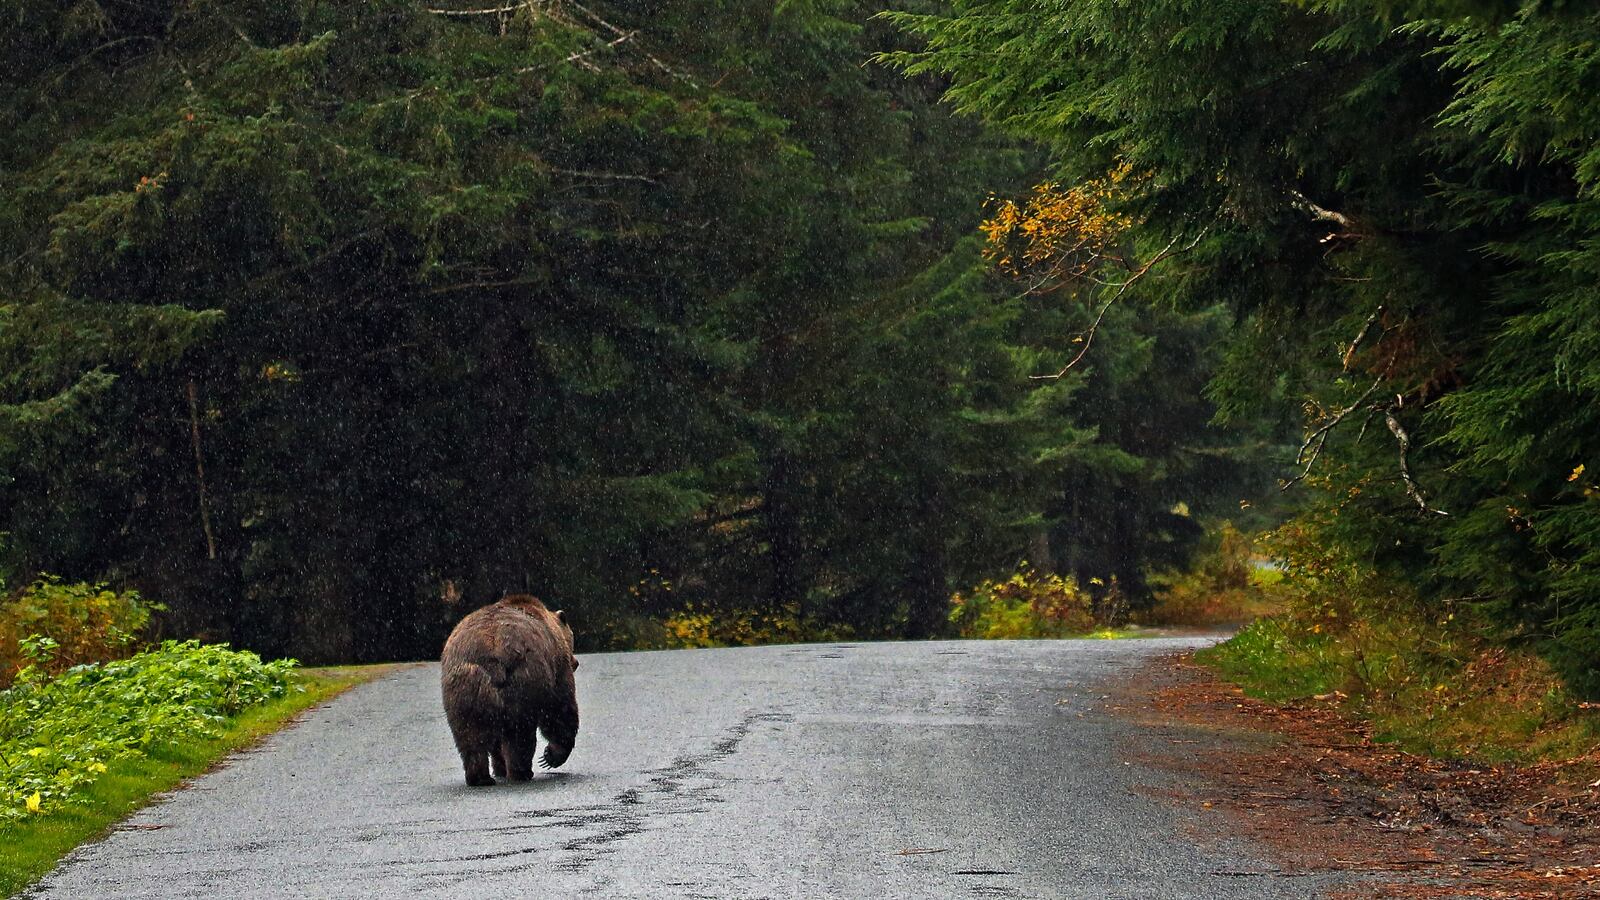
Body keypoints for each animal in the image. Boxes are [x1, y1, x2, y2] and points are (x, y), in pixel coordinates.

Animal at [440, 594, 580, 786]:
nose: (576, 662)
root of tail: (492, 655)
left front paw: (500, 767)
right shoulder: (557, 665)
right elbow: (561, 707)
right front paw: (551, 755)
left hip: (465, 688)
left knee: (470, 737)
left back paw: (480, 777)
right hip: (524, 680)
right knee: (519, 732)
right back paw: (521, 772)